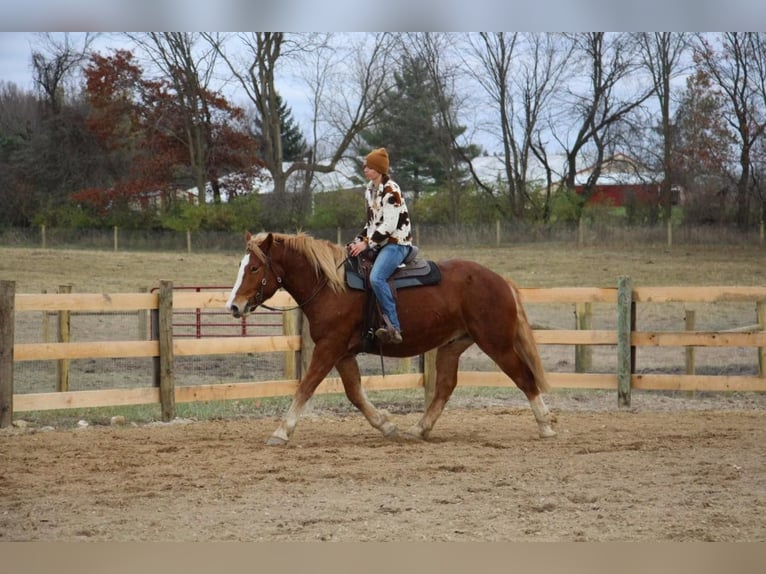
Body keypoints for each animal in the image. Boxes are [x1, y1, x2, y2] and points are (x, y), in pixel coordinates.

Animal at [225, 232, 556, 448]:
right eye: (242, 266)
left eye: (254, 267)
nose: (234, 306)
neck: (331, 286)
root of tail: (500, 281)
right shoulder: (342, 353)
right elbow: (355, 393)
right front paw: (387, 426)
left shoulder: (329, 348)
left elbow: (306, 386)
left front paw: (281, 432)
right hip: (453, 345)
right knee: (445, 387)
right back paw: (418, 429)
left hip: (496, 343)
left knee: (524, 377)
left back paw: (545, 425)